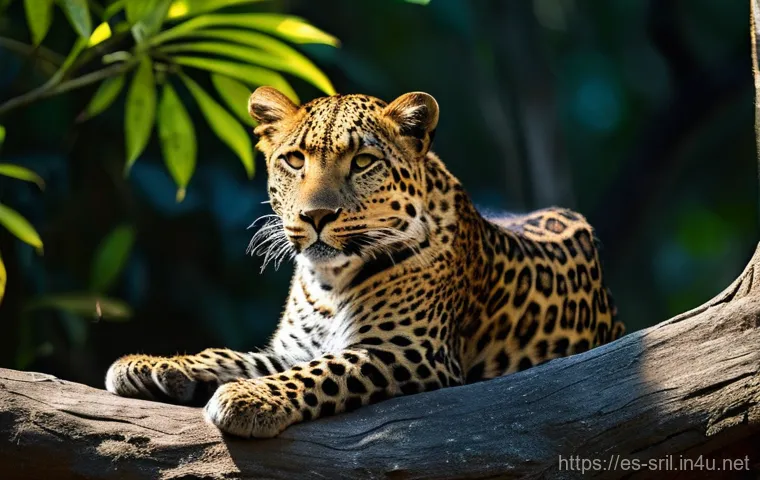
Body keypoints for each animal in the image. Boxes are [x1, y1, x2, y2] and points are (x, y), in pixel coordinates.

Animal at [106, 87, 625, 438]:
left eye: (361, 163)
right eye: (295, 160)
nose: (315, 216)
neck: (329, 281)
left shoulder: (409, 350)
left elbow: (323, 371)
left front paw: (248, 397)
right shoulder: (292, 348)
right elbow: (230, 356)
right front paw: (150, 364)